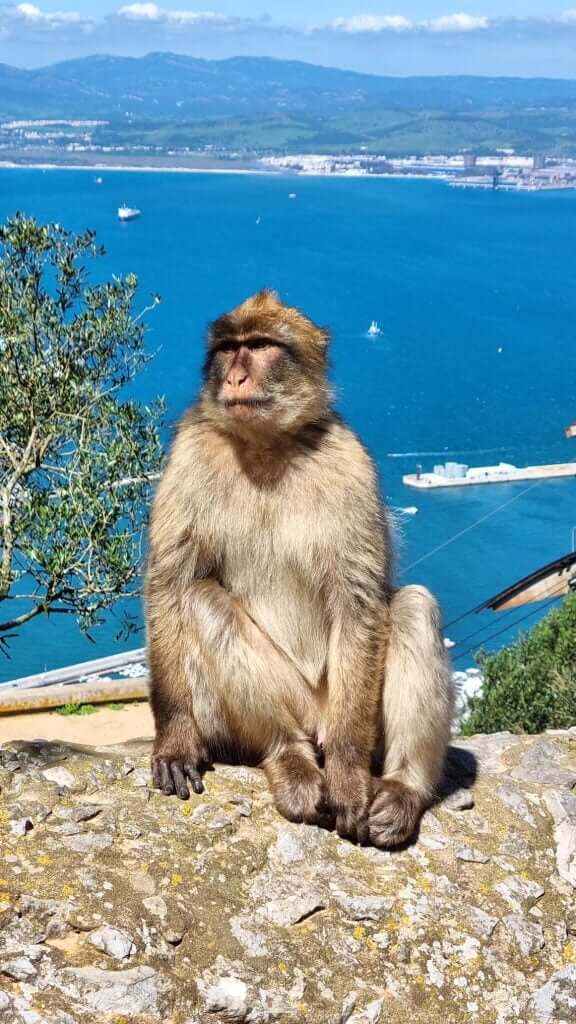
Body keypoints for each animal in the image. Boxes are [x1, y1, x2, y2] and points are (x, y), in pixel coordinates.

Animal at [145, 289, 454, 848]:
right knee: (198, 598)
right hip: (263, 712)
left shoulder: (348, 461)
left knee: (413, 607)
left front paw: (350, 776)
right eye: (229, 348)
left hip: (344, 702)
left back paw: (402, 788)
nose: (234, 377)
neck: (266, 444)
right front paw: (176, 739)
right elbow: (170, 582)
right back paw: (288, 755)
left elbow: (359, 599)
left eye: (262, 346)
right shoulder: (189, 454)